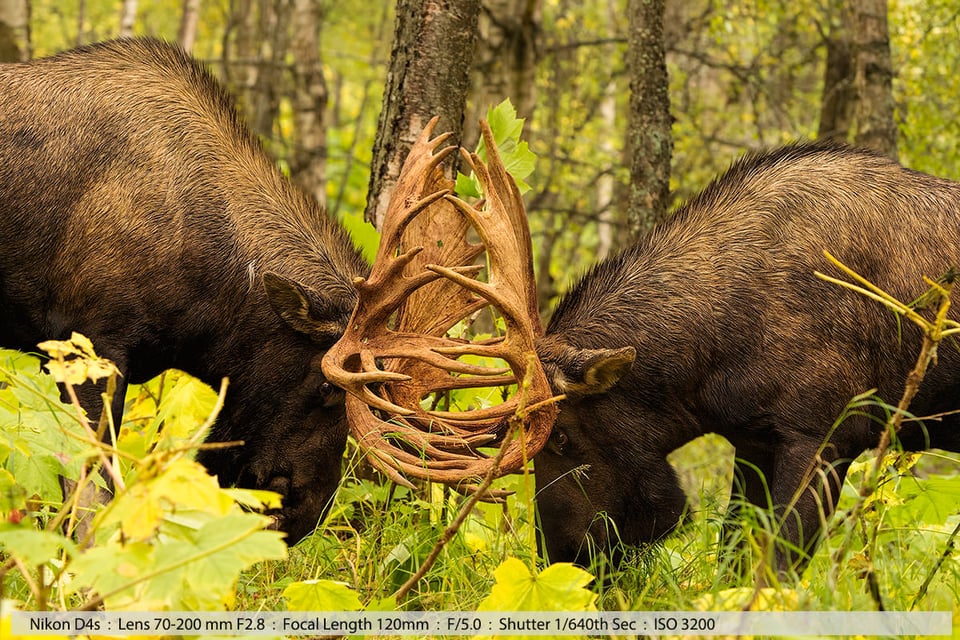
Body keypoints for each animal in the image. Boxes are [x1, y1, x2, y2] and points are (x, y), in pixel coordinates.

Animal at [532, 142, 960, 572]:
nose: (560, 556)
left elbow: (779, 565)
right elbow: (732, 556)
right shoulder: (755, 442)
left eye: (561, 436)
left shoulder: (824, 438)